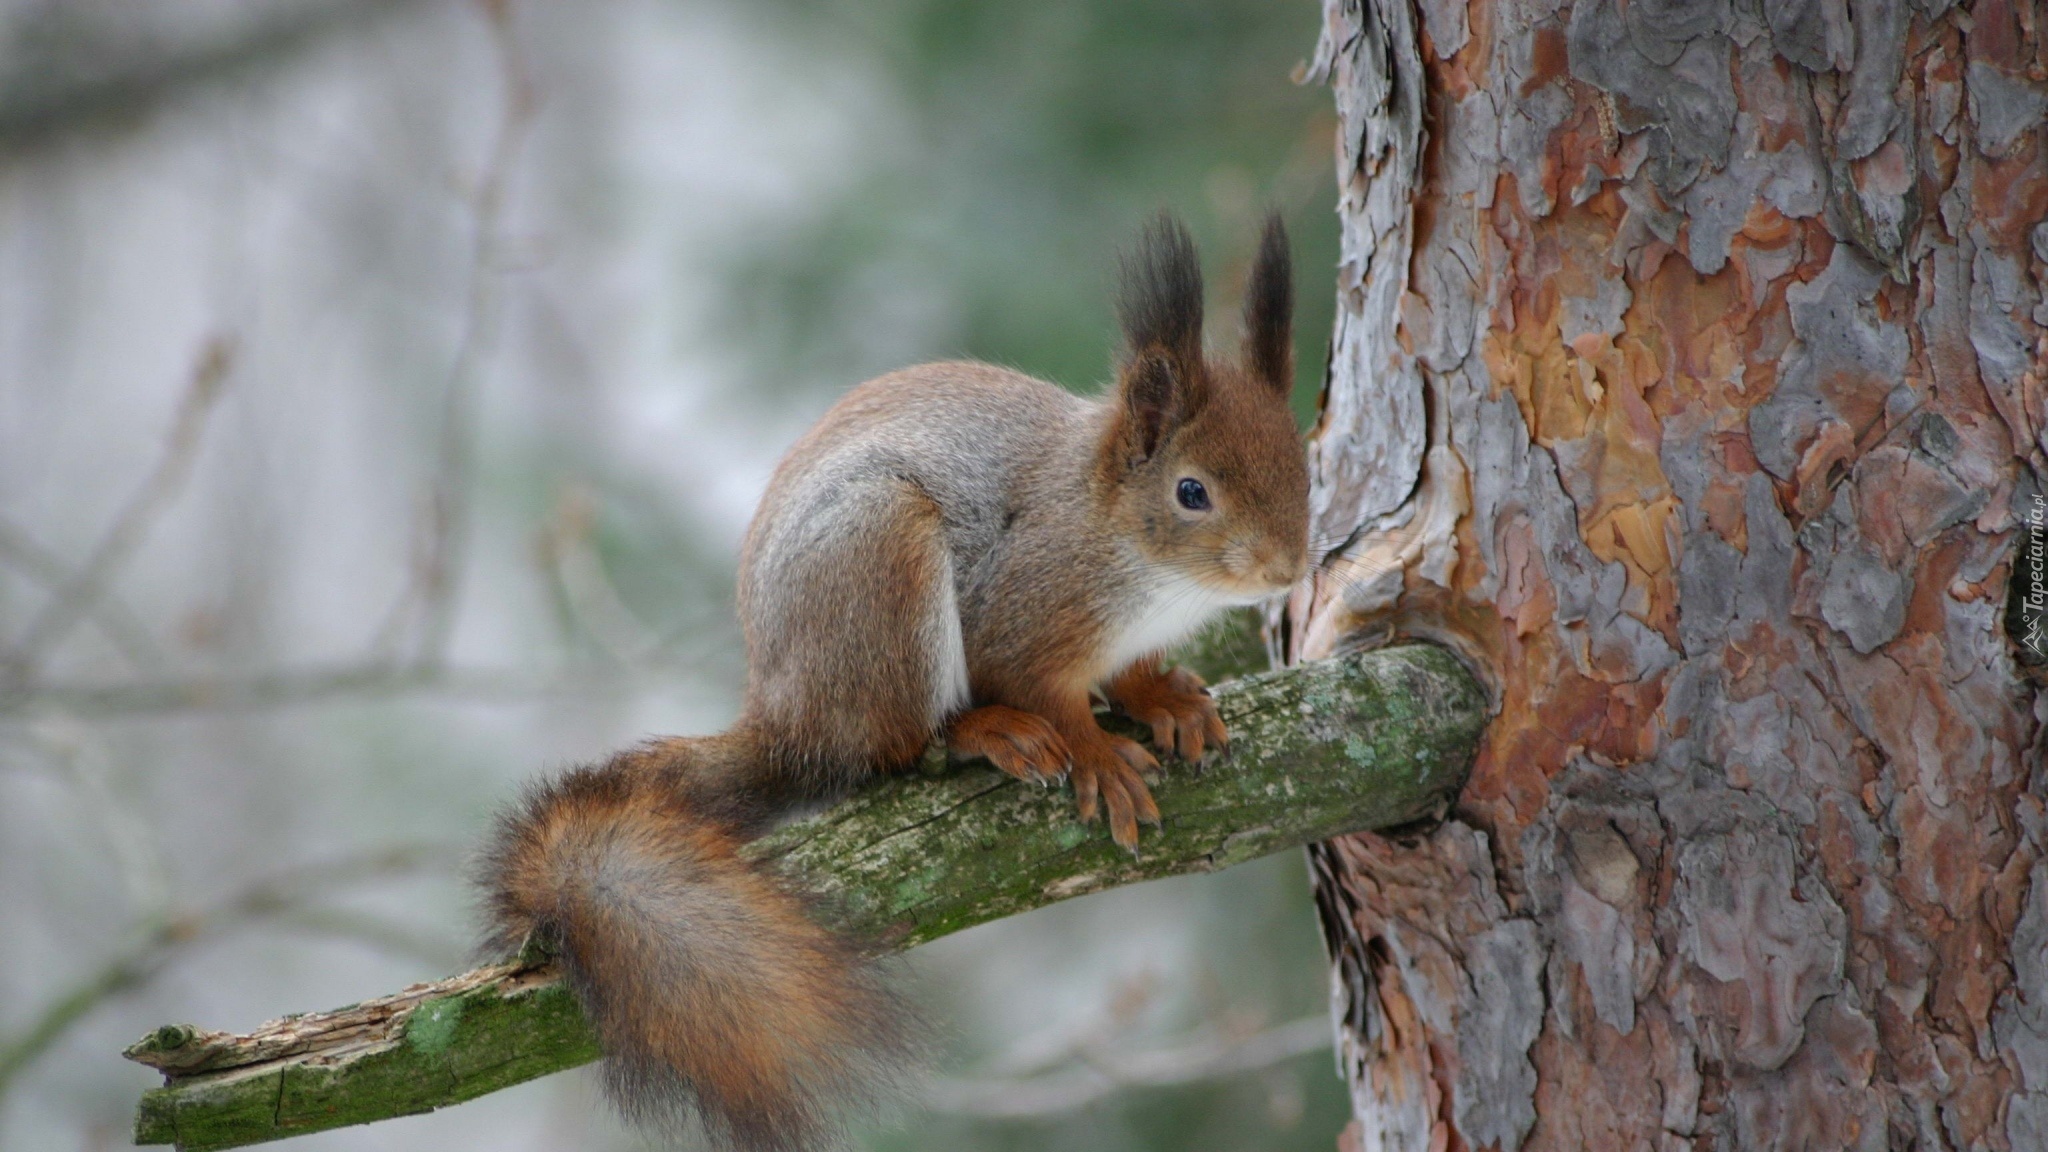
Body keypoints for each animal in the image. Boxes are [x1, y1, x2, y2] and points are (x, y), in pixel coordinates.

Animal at [481, 211, 1310, 1139]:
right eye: (1192, 492)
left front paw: (1166, 699)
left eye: (1303, 461)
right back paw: (984, 732)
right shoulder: (1028, 608)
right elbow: (1041, 687)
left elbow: (1130, 676)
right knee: (904, 749)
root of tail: (790, 720)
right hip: (883, 567)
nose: (1288, 568)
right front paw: (1096, 753)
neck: (1140, 562)